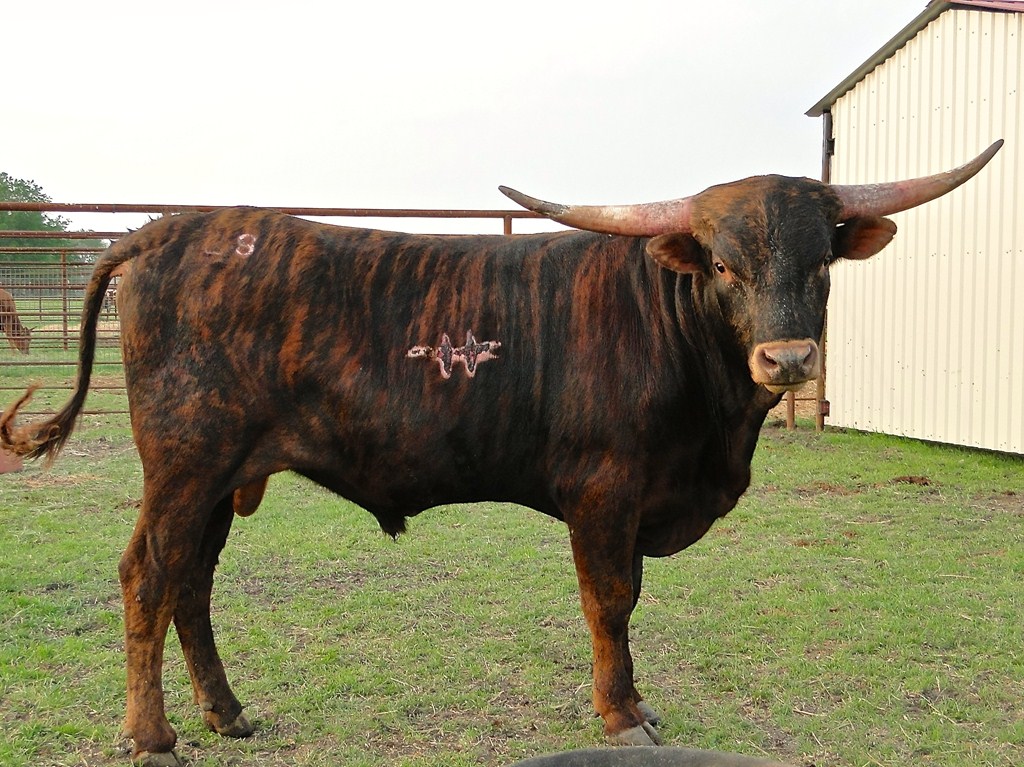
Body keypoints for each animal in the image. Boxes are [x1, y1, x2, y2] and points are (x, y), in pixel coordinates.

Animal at [0, 141, 1001, 766]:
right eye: (723, 264)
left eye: (823, 260)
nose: (788, 360)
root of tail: (164, 228)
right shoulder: (605, 491)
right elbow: (611, 602)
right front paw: (623, 714)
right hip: (185, 462)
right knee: (148, 576)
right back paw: (152, 735)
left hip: (223, 477)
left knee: (191, 584)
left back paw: (227, 713)